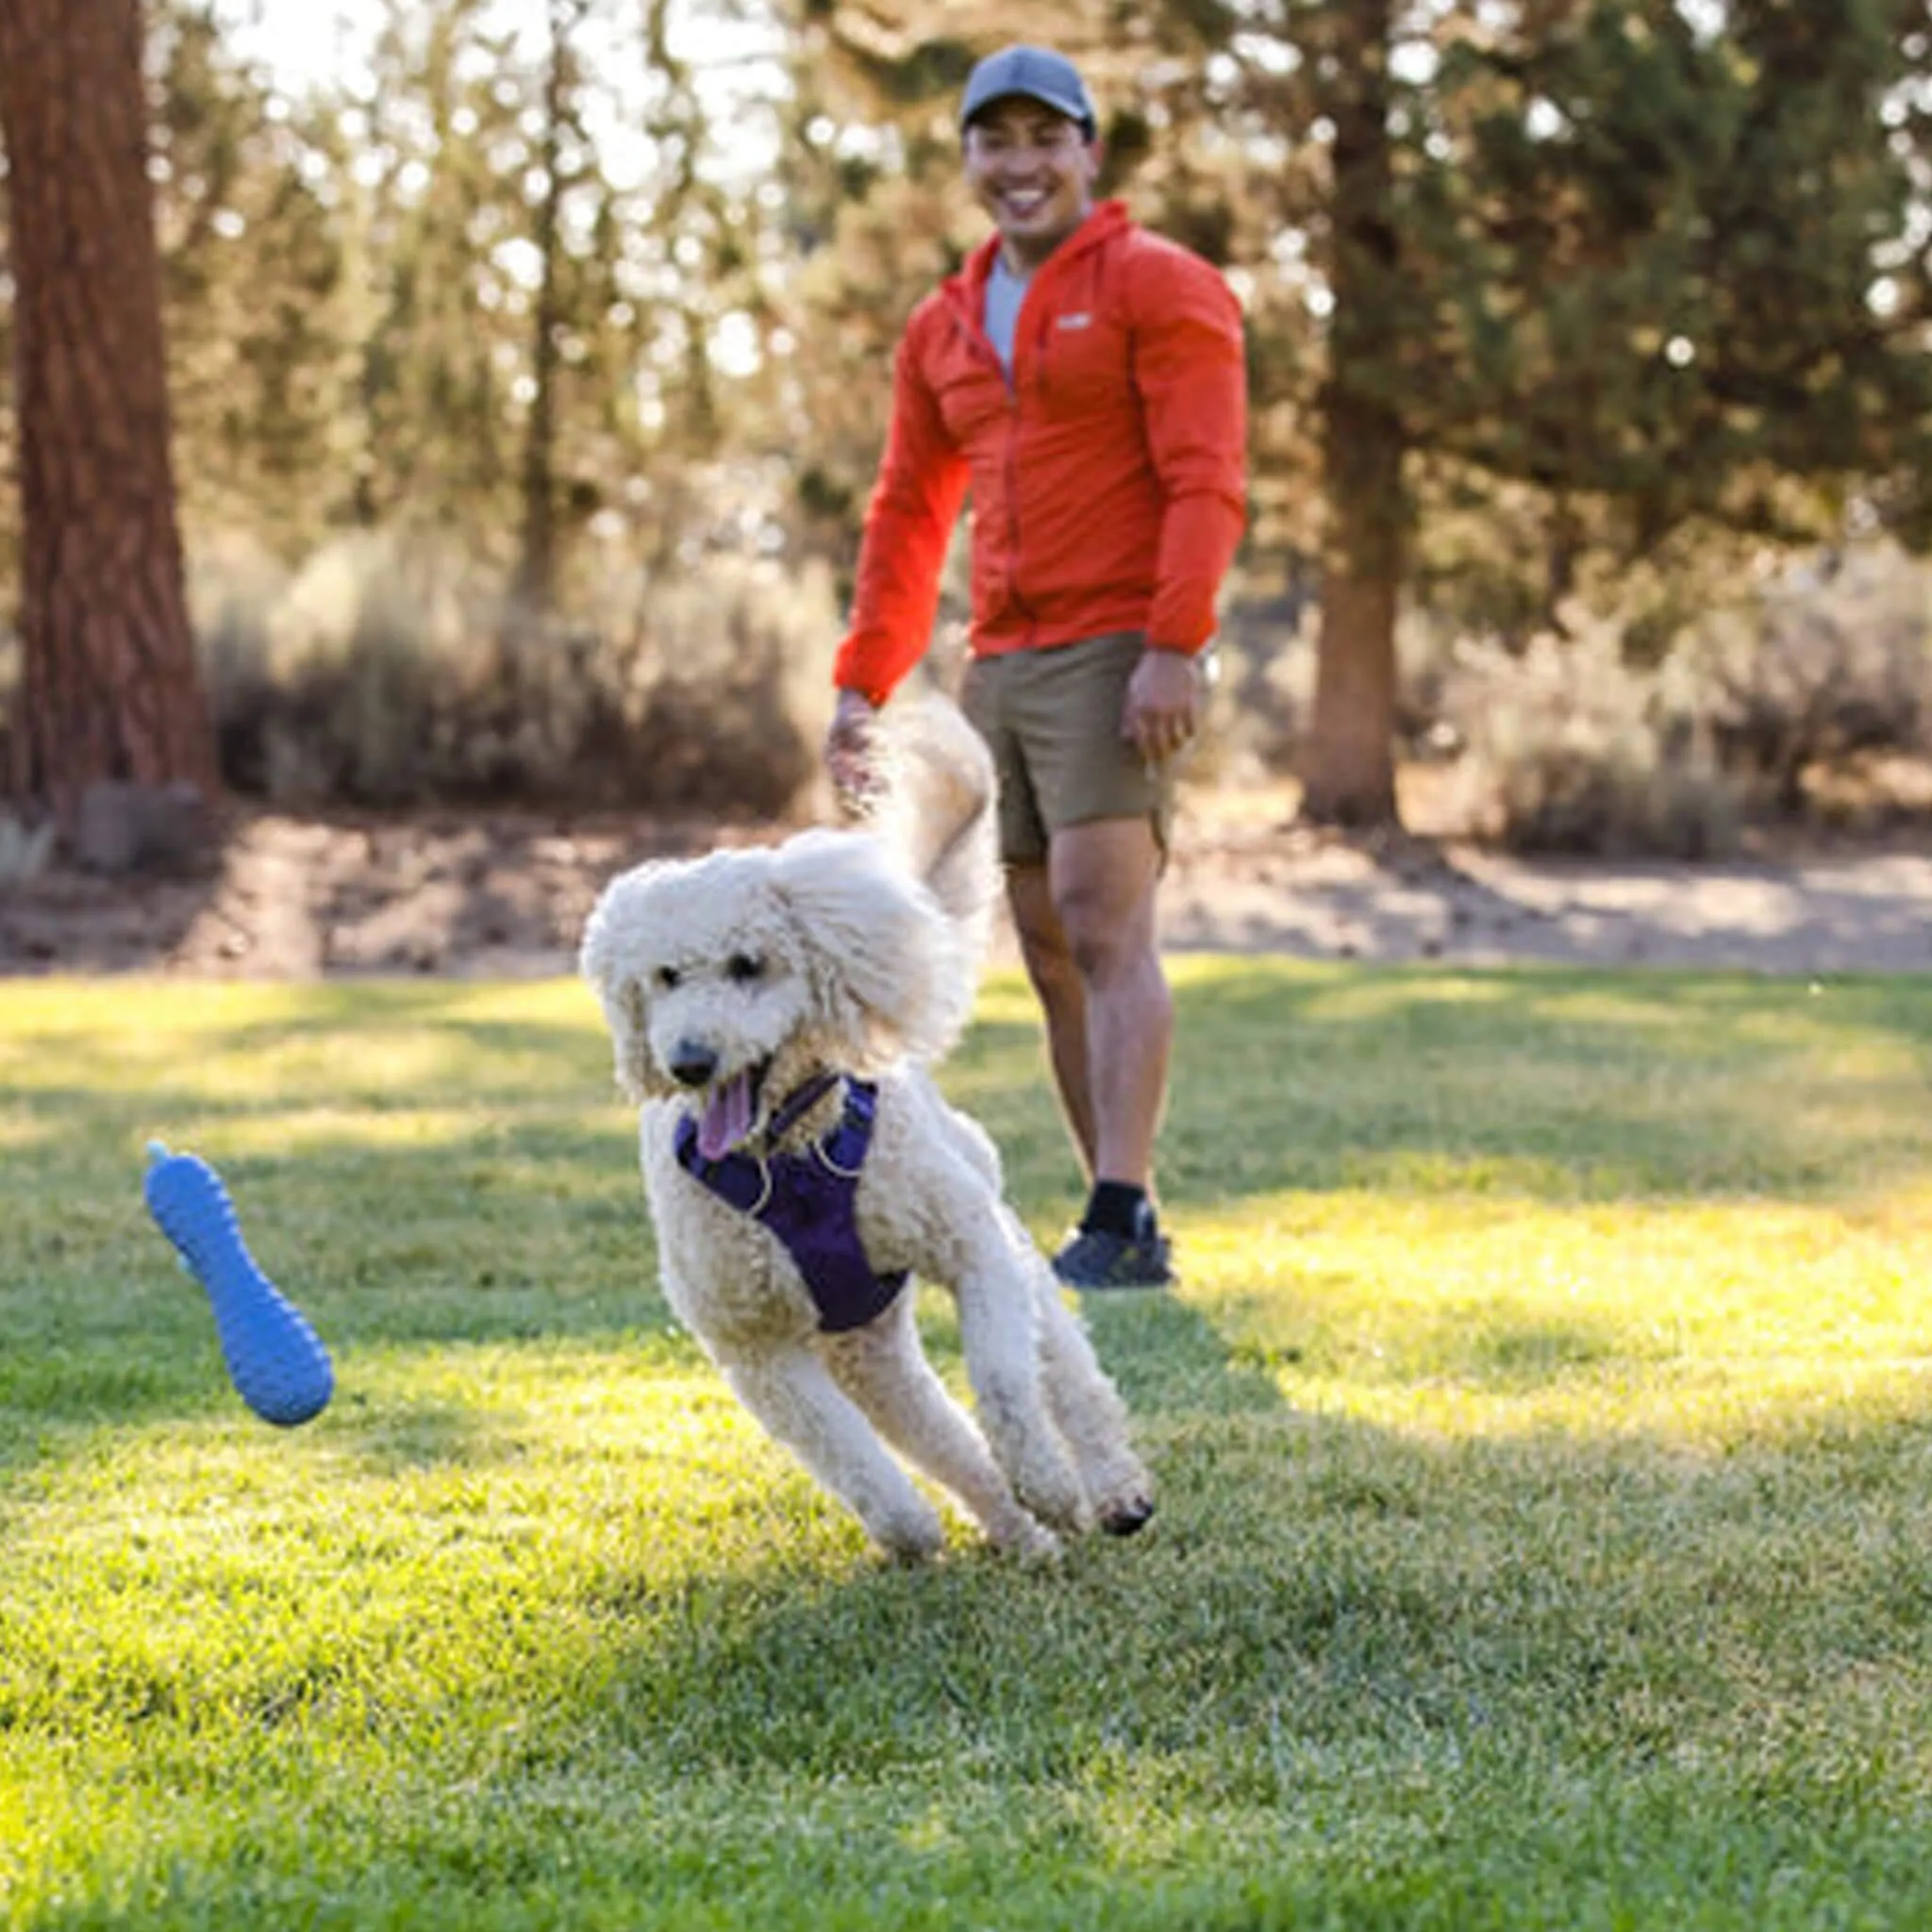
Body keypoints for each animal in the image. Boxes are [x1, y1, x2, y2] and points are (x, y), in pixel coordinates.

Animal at [579, 703, 1151, 1560]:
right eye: (665, 978)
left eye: (748, 964)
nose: (687, 1062)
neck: (787, 1153)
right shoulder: (755, 1348)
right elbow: (848, 1456)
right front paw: (914, 1530)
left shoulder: (972, 1249)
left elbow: (1005, 1382)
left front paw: (1050, 1482)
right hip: (866, 1347)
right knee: (934, 1427)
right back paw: (1018, 1533)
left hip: (992, 1236)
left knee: (1065, 1368)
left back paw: (1106, 1487)